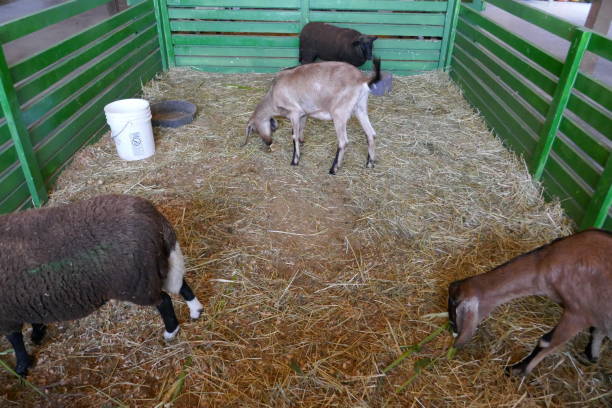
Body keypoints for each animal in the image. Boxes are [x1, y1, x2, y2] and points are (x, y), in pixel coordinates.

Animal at [245, 58, 380, 175]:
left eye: (254, 129)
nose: (268, 142)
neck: (273, 96)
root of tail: (362, 79)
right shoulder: (303, 113)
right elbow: (301, 129)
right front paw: (302, 142)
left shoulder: (294, 112)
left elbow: (294, 136)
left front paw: (295, 161)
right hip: (360, 108)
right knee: (371, 134)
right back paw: (369, 164)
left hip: (339, 113)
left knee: (343, 141)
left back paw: (333, 169)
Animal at [448, 230, 608, 376]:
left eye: (454, 313)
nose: (454, 332)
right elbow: (597, 330)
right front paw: (591, 356)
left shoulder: (578, 314)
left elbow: (546, 342)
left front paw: (515, 370)